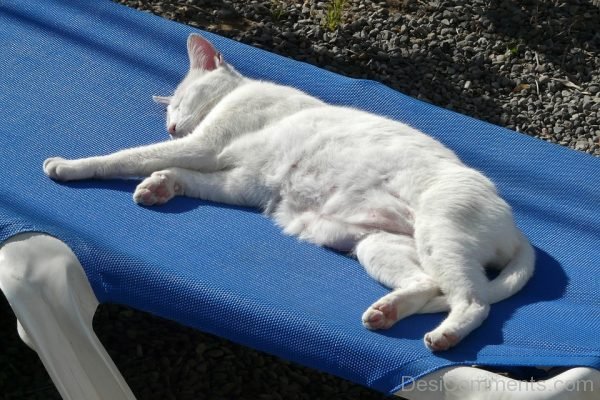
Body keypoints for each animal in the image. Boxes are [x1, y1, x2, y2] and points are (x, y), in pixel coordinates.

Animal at [45, 33, 536, 350]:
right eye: (171, 112)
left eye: (181, 102)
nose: (171, 125)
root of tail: (517, 230)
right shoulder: (239, 183)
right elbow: (180, 173)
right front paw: (161, 185)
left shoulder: (203, 146)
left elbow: (126, 156)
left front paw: (69, 166)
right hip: (379, 246)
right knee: (430, 285)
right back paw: (386, 312)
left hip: (440, 234)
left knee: (473, 301)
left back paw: (444, 335)